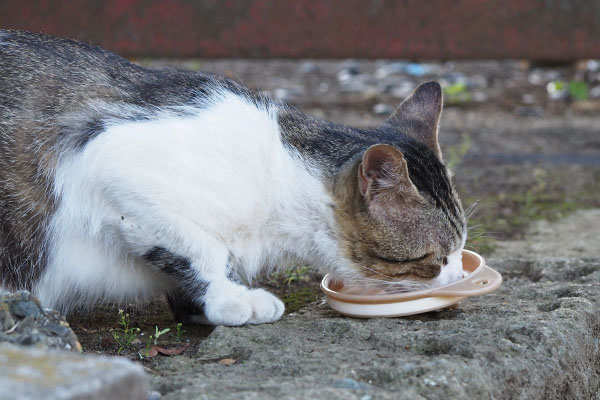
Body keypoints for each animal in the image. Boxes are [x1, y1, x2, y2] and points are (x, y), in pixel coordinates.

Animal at [0, 30, 466, 324]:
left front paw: (195, 306)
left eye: (461, 249)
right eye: (435, 258)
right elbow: (201, 247)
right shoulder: (109, 158)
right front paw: (231, 299)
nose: (461, 278)